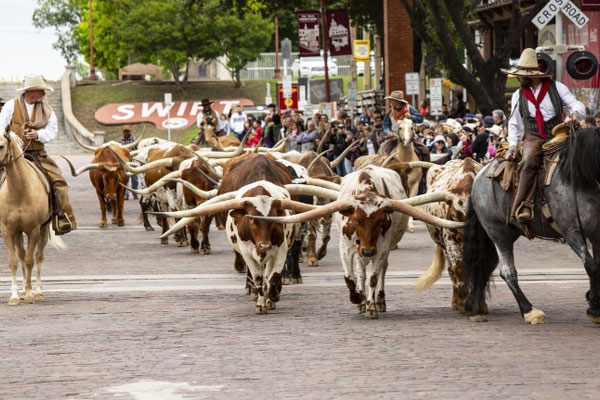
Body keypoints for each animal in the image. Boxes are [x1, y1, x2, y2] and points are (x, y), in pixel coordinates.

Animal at [0, 130, 64, 304]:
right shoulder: (8, 230)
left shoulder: (34, 230)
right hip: (17, 232)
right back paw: (22, 289)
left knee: (39, 257)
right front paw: (15, 295)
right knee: (21, 256)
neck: (19, 190)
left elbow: (30, 260)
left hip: (43, 230)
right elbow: (14, 261)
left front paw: (30, 294)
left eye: (1, 146)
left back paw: (37, 291)